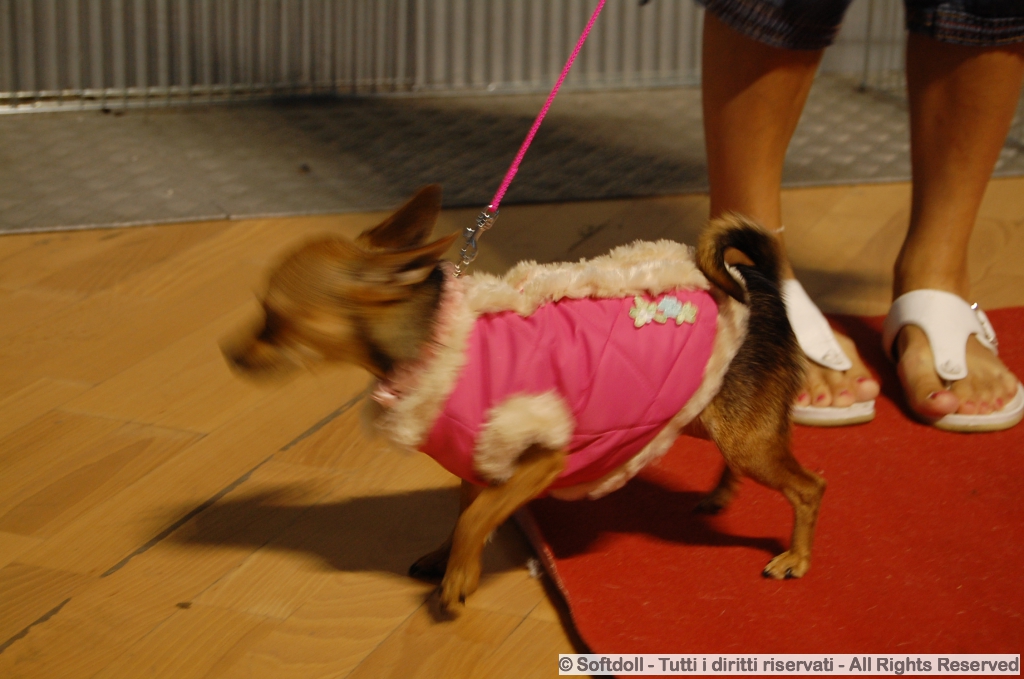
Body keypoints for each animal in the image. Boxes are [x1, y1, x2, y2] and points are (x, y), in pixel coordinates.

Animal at [223, 185, 826, 612]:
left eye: (275, 320)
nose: (230, 353)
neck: (435, 339)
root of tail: (757, 281)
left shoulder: (541, 460)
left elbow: (475, 518)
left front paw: (459, 579)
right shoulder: (478, 463)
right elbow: (468, 514)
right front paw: (448, 560)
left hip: (743, 434)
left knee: (808, 487)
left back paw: (796, 557)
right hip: (709, 414)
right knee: (744, 458)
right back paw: (721, 495)